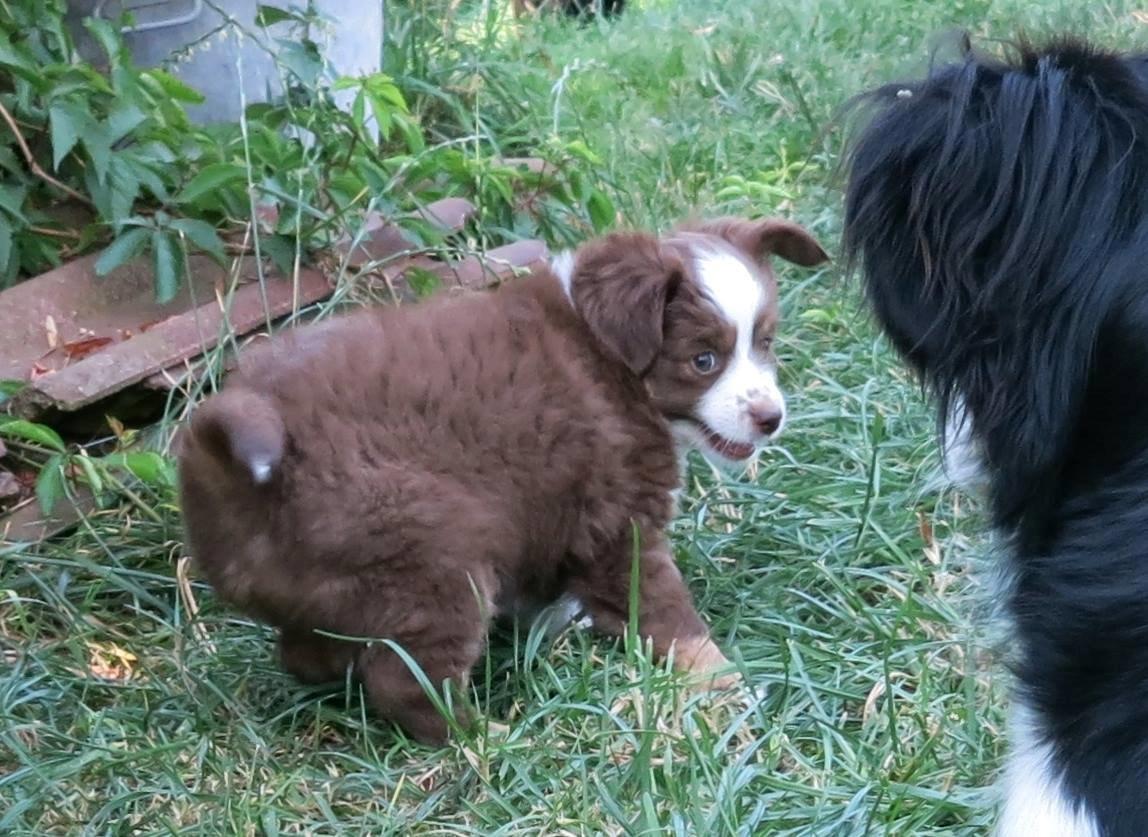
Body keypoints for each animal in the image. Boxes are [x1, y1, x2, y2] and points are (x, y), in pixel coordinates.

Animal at [176, 219, 826, 739]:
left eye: (765, 342)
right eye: (703, 360)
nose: (771, 417)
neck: (611, 353)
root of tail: (221, 449)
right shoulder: (620, 526)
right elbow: (669, 614)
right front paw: (728, 686)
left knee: (306, 652)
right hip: (432, 557)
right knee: (404, 680)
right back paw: (488, 737)